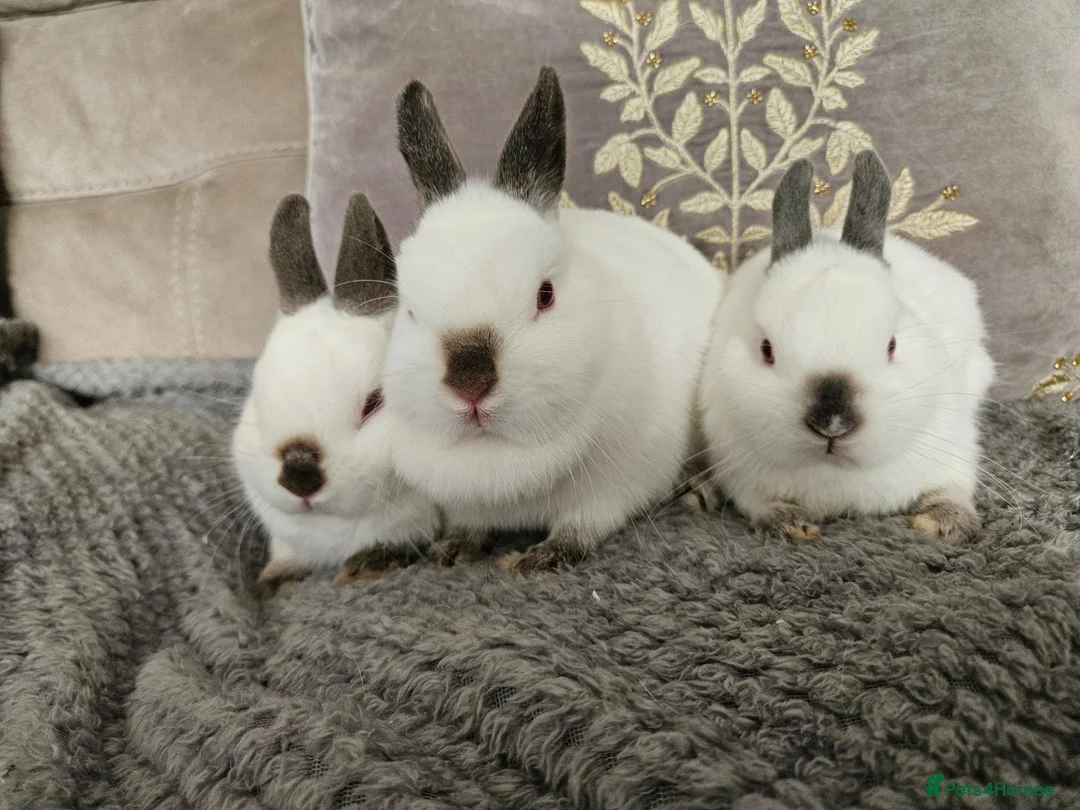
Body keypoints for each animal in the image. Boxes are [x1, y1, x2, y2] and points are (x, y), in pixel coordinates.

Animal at [381, 67, 724, 574]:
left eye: (545, 296)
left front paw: (540, 558)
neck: (499, 454)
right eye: (408, 307)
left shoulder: (612, 487)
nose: (470, 381)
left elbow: (583, 526)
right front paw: (452, 549)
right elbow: (469, 524)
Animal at [697, 150, 995, 543]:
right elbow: (759, 502)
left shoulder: (953, 449)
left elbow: (951, 488)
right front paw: (792, 524)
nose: (832, 424)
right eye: (766, 349)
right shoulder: (740, 469)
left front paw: (945, 522)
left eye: (892, 345)